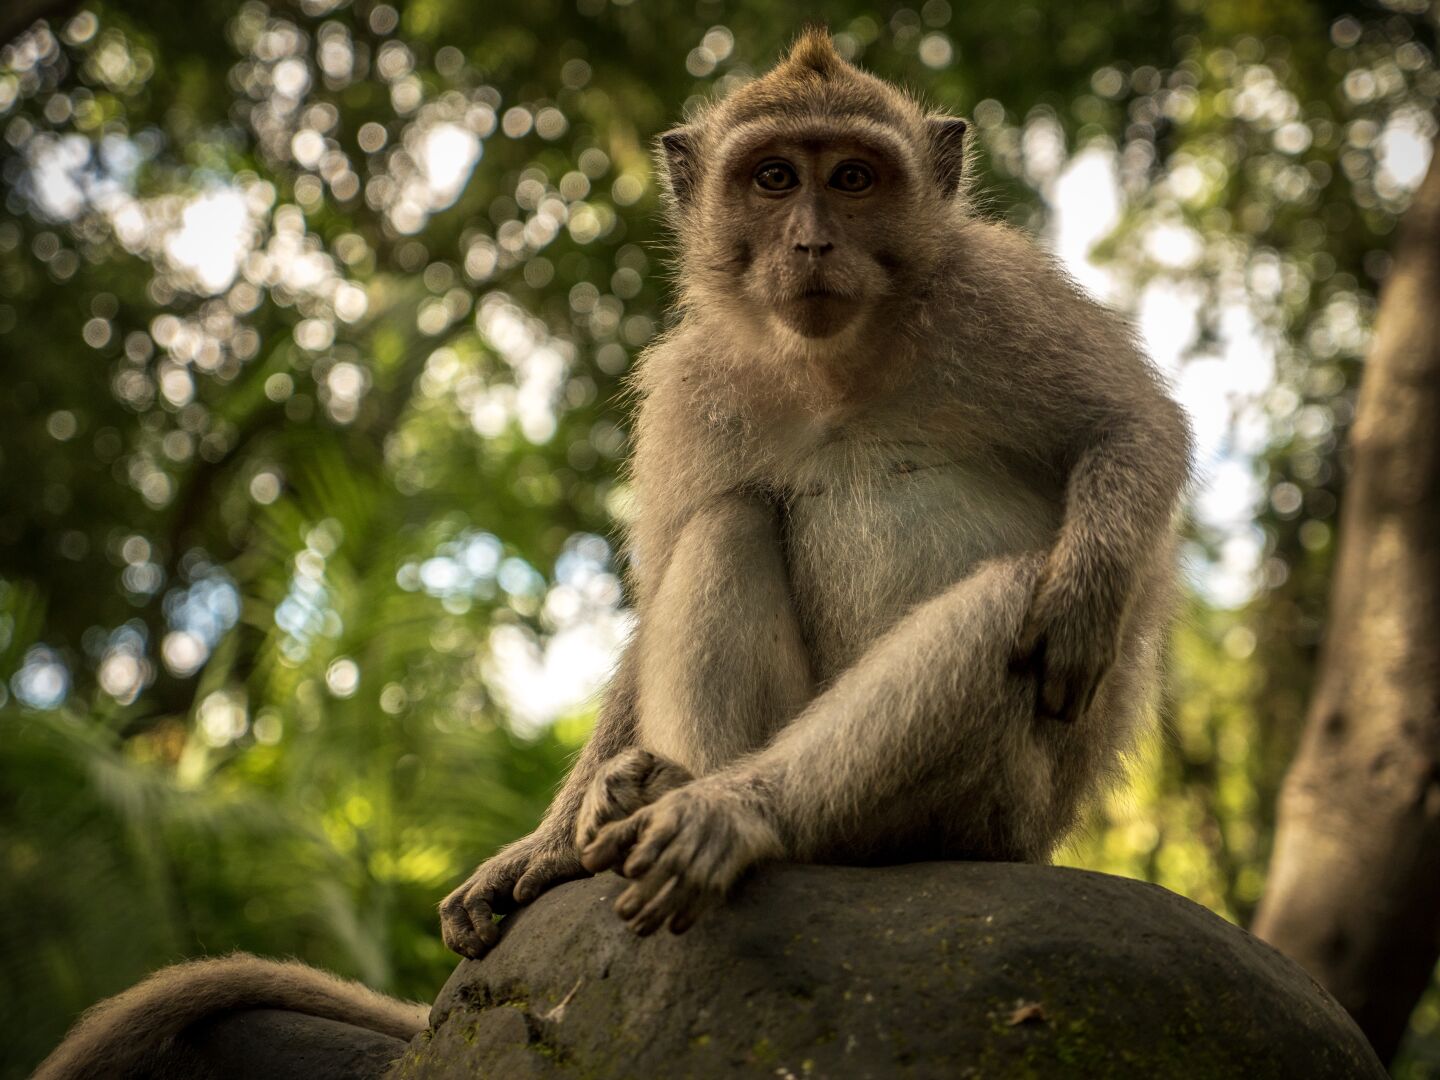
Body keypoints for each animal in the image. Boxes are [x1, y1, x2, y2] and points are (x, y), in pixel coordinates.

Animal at [439, 27, 1191, 955]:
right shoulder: (691, 390)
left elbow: (1135, 428)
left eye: (853, 179)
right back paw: (667, 792)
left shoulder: (1000, 292)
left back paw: (734, 814)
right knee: (728, 520)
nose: (810, 245)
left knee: (1011, 601)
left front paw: (1085, 592)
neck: (838, 365)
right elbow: (667, 577)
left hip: (1000, 812)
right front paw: (539, 849)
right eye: (774, 178)